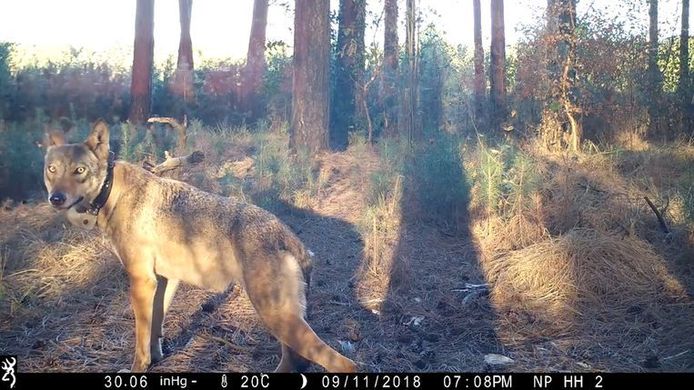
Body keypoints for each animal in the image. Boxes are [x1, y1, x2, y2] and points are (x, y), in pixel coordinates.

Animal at [43, 120, 358, 374]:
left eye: (79, 170)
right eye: (52, 170)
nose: (55, 199)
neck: (112, 192)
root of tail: (290, 237)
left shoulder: (141, 281)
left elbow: (141, 339)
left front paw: (137, 368)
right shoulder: (164, 281)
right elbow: (155, 331)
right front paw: (156, 360)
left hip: (277, 317)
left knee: (344, 364)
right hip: (281, 321)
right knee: (298, 361)